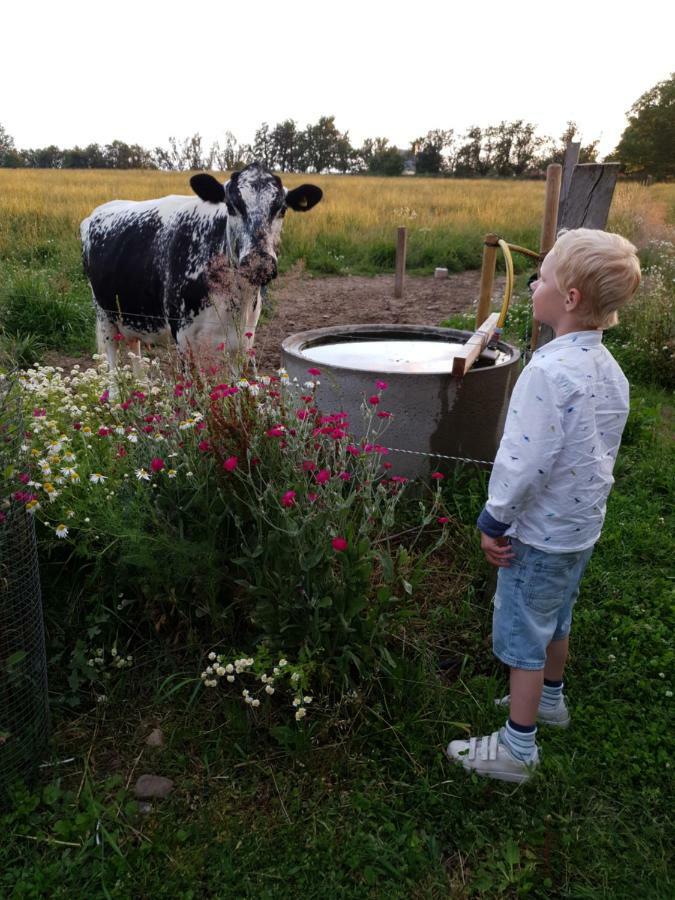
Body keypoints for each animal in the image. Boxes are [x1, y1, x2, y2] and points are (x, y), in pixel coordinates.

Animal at [80, 163, 324, 370]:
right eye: (231, 206)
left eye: (282, 208)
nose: (259, 263)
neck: (233, 298)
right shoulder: (183, 339)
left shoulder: (243, 342)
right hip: (104, 316)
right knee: (113, 369)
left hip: (131, 315)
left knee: (135, 353)